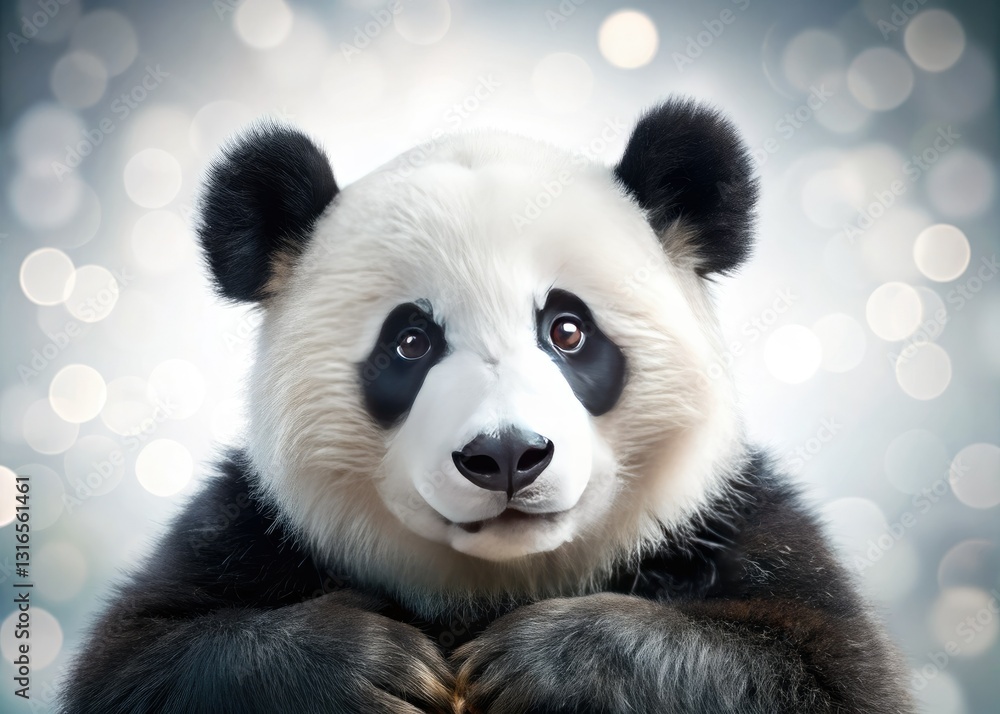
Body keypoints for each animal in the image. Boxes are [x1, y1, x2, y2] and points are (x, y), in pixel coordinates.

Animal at [62, 99, 914, 714]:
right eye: (410, 342)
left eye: (567, 329)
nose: (506, 455)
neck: (494, 583)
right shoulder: (249, 533)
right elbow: (137, 661)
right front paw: (375, 666)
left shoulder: (732, 523)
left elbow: (821, 674)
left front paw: (547, 660)